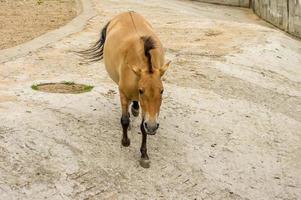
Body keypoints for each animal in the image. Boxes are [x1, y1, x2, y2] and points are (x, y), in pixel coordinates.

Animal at [79, 10, 170, 167]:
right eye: (141, 90)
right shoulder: (123, 94)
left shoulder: (147, 110)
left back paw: (134, 108)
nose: (153, 127)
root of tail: (127, 12)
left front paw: (144, 155)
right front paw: (125, 141)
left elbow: (142, 127)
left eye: (162, 91)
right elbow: (125, 120)